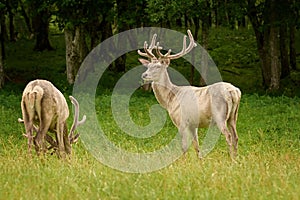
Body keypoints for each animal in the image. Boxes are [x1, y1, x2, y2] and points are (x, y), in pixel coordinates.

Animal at [138, 29, 241, 159]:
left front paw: (184, 161)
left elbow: (184, 146)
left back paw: (231, 159)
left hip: (220, 115)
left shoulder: (181, 120)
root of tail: (234, 91)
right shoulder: (193, 124)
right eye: (148, 66)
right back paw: (236, 158)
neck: (170, 99)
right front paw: (200, 160)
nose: (144, 75)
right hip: (233, 116)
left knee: (228, 136)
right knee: (236, 136)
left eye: (158, 67)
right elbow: (196, 145)